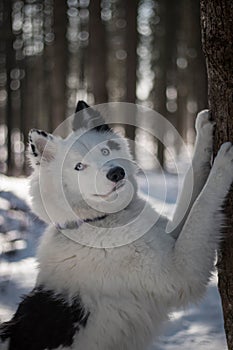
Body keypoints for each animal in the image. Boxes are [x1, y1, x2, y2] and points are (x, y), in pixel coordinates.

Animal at [0, 101, 232, 350]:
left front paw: (204, 130)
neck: (97, 222)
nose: (116, 173)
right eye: (79, 166)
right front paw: (223, 163)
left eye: (105, 151)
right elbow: (203, 202)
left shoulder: (171, 238)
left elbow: (193, 183)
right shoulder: (181, 272)